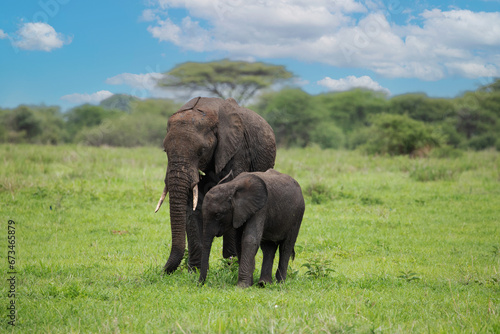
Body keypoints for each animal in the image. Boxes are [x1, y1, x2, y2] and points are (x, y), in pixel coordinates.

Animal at [154, 96, 276, 274]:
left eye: (202, 150)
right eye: (165, 151)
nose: (162, 271)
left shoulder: (237, 150)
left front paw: (230, 267)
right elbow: (192, 205)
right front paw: (194, 271)